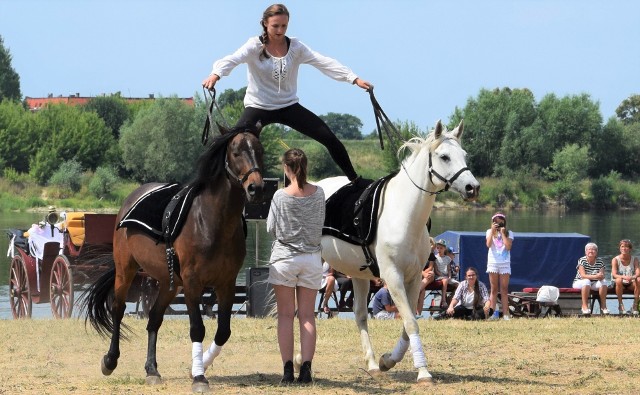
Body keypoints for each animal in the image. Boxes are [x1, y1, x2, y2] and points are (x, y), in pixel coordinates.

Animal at [83, 124, 264, 392]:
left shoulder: (226, 283)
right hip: (126, 269)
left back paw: (151, 370)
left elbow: (223, 331)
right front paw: (199, 377)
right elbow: (197, 328)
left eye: (260, 150)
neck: (212, 222)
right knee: (117, 309)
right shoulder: (192, 283)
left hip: (169, 283)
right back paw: (110, 360)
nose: (256, 187)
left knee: (154, 318)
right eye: (235, 152)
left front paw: (199, 366)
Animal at [318, 120, 478, 384]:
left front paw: (388, 361)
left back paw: (372, 364)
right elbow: (411, 323)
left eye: (463, 155)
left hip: (359, 276)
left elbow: (408, 322)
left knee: (360, 315)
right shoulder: (393, 277)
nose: (472, 187)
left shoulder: (414, 279)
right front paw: (423, 372)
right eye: (444, 156)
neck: (403, 214)